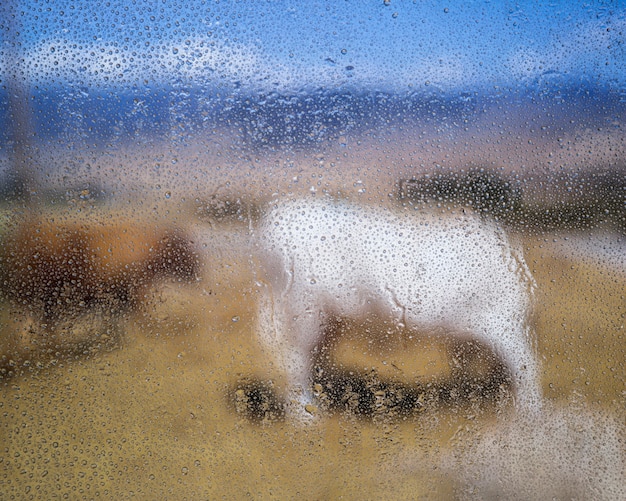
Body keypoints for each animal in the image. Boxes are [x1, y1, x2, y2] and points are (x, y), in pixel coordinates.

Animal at [256, 197, 540, 420]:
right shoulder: (499, 324)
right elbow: (525, 367)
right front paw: (529, 415)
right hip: (303, 312)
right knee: (294, 360)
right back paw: (308, 418)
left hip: (324, 319)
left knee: (311, 359)